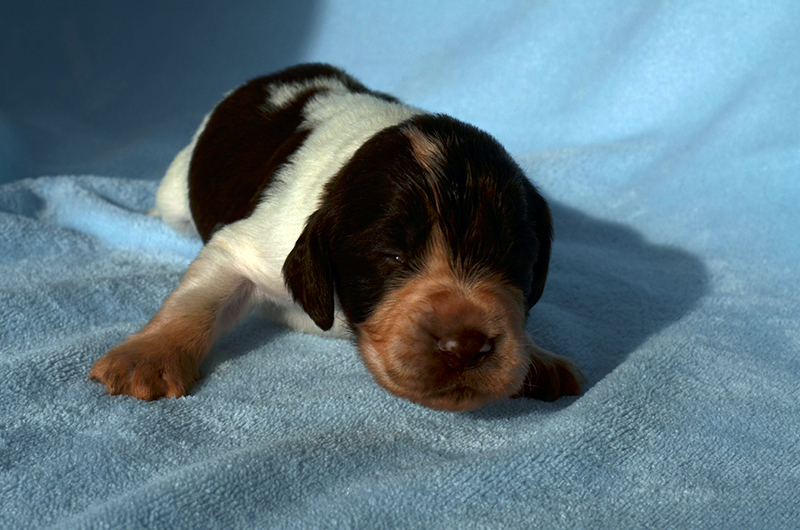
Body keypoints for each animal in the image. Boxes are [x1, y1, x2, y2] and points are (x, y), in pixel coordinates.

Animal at [90, 62, 584, 408]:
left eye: (515, 259)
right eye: (393, 257)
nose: (465, 347)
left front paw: (540, 358)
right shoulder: (248, 246)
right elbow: (197, 300)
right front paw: (145, 356)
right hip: (178, 188)